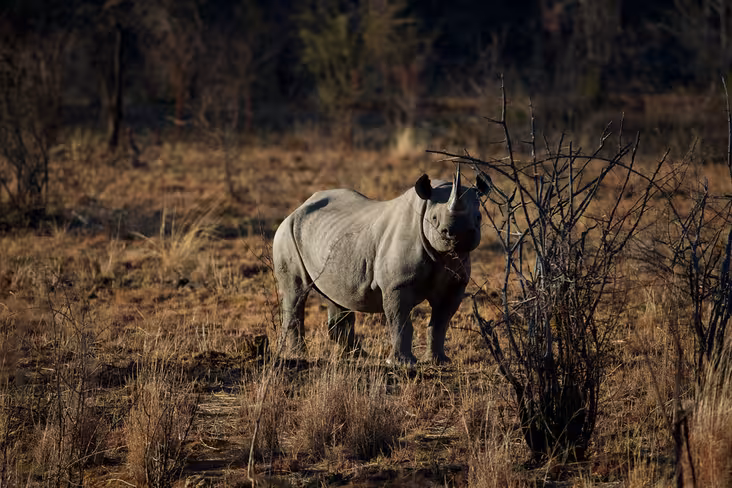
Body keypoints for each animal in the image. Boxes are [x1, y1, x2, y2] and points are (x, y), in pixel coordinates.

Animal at [272, 165, 489, 364]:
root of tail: (298, 207)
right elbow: (400, 321)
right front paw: (403, 363)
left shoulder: (455, 284)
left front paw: (438, 361)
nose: (459, 235)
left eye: (479, 217)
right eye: (434, 219)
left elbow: (440, 322)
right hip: (287, 232)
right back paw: (298, 355)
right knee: (296, 292)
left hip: (332, 237)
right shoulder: (398, 285)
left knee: (337, 294)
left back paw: (357, 356)